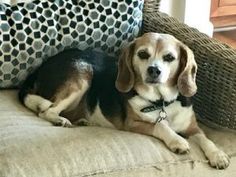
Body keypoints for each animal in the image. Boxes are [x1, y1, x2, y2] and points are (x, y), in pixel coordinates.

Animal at [19, 32, 230, 169]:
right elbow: (160, 126)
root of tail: (40, 68)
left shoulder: (192, 127)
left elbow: (206, 139)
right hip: (82, 74)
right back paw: (59, 119)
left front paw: (218, 155)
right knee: (47, 110)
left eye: (170, 57)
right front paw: (177, 140)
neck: (161, 102)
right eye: (143, 54)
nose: (154, 70)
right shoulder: (132, 123)